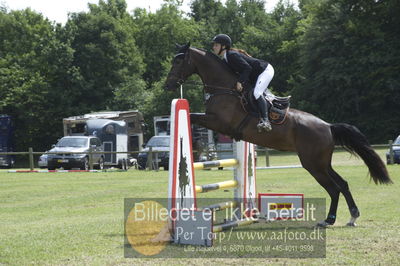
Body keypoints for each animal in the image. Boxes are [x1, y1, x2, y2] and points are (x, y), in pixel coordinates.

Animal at [164, 43, 392, 227]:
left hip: (313, 164)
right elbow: (194, 119)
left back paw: (328, 220)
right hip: (322, 163)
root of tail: (328, 126)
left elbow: (193, 117)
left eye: (178, 61)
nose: (168, 86)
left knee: (334, 188)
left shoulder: (219, 122)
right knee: (342, 184)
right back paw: (352, 216)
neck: (225, 88)